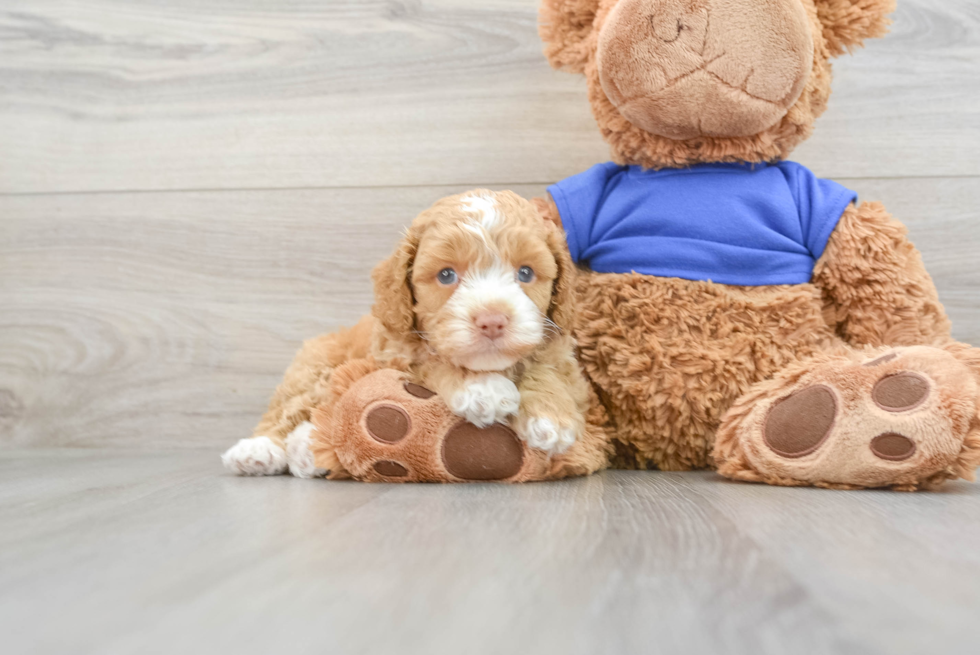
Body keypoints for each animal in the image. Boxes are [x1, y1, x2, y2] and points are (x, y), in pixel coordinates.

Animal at [223, 190, 588, 476]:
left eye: (525, 273)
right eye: (446, 275)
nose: (492, 320)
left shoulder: (561, 351)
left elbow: (547, 369)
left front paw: (551, 418)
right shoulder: (395, 352)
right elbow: (433, 358)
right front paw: (481, 388)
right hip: (314, 370)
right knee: (285, 411)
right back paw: (258, 451)